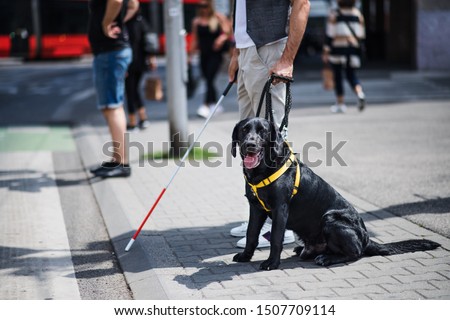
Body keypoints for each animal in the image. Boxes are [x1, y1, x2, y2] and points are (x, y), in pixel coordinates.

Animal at [232, 117, 440, 270]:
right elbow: (251, 234)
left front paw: (272, 263)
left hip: (331, 219)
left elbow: (276, 237)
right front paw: (245, 256)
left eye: (262, 131)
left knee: (356, 253)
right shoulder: (255, 208)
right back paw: (305, 250)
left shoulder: (280, 210)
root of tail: (366, 238)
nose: (249, 144)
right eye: (244, 130)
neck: (262, 171)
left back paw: (327, 258)